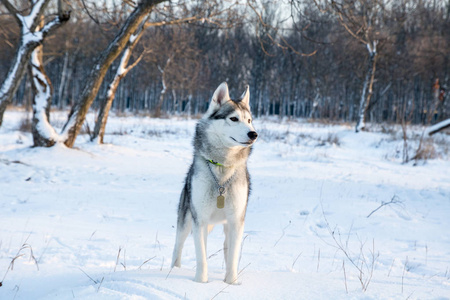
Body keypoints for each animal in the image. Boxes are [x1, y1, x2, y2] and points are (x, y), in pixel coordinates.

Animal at [171, 82, 258, 284]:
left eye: (249, 120)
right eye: (233, 119)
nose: (253, 134)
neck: (221, 171)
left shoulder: (236, 221)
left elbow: (233, 255)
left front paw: (231, 282)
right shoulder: (200, 220)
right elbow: (201, 255)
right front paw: (201, 282)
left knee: (227, 248)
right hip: (186, 221)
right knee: (178, 247)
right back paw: (174, 270)